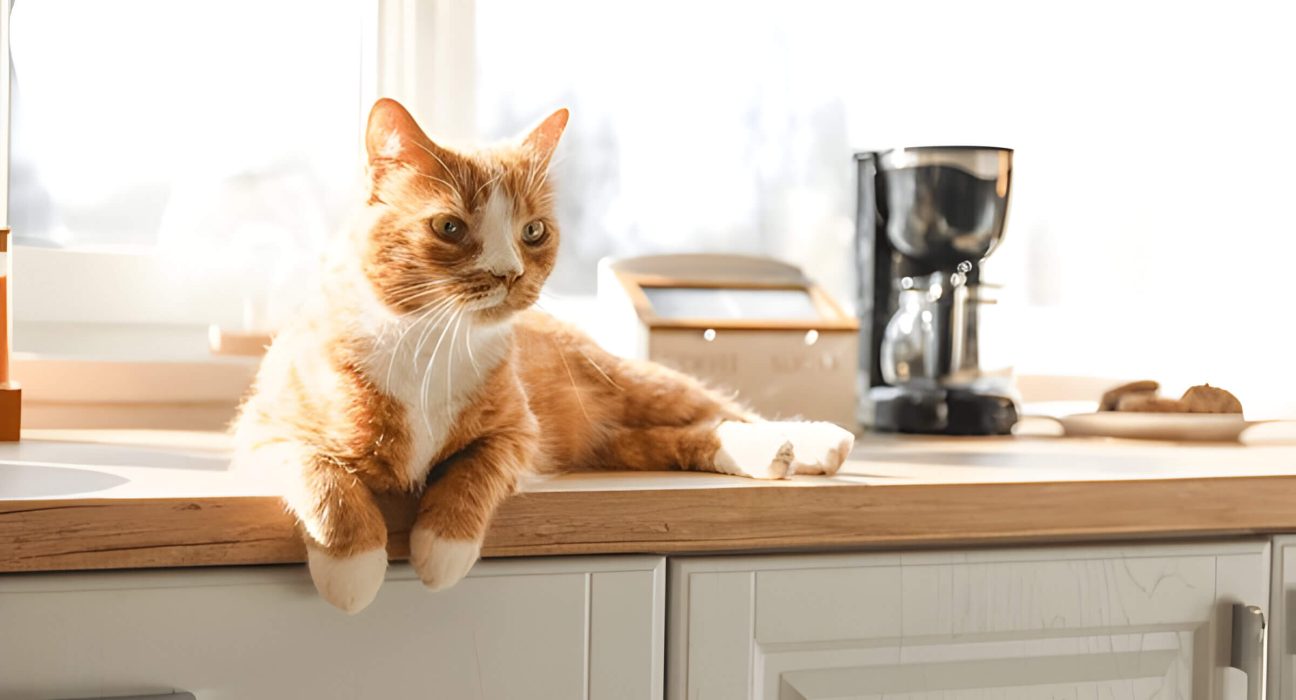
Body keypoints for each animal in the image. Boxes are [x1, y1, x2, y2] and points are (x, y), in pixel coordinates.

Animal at [234, 98, 855, 611]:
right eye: (449, 226)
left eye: (533, 231)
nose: (509, 273)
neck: (428, 344)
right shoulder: (263, 430)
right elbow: (325, 479)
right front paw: (354, 568)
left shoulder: (519, 433)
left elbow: (474, 470)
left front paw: (441, 547)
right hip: (613, 441)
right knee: (682, 437)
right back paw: (771, 455)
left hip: (636, 383)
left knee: (724, 411)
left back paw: (813, 443)